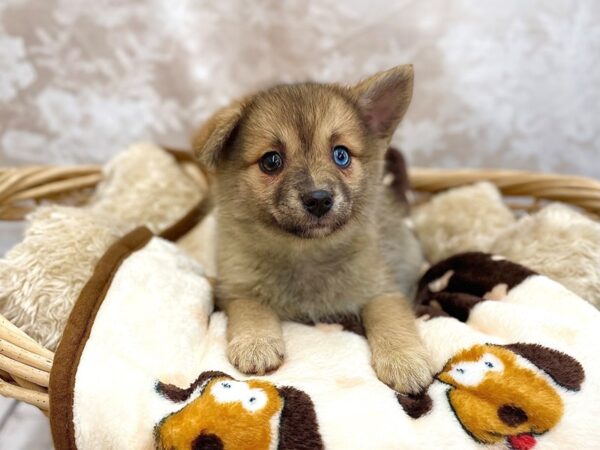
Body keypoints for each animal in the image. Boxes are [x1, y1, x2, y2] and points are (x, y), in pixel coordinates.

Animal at [195, 64, 434, 394]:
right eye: (271, 161)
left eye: (341, 155)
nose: (319, 199)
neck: (305, 253)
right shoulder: (237, 288)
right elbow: (252, 309)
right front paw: (256, 342)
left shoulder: (382, 290)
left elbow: (391, 317)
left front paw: (404, 359)